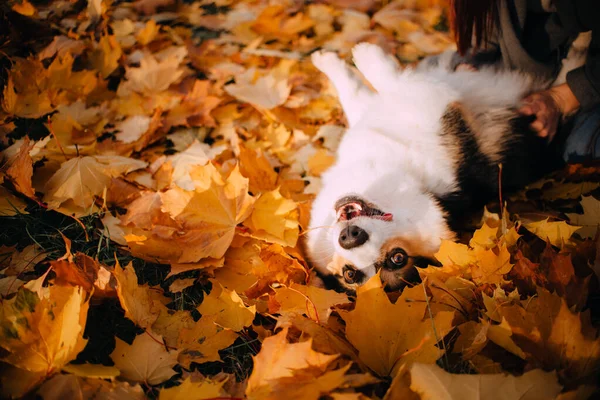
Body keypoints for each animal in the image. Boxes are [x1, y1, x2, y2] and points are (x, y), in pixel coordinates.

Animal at [308, 43, 560, 294]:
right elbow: (367, 86)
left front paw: (357, 56)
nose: (350, 237)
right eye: (350, 274)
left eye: (397, 258)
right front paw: (342, 58)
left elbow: (376, 81)